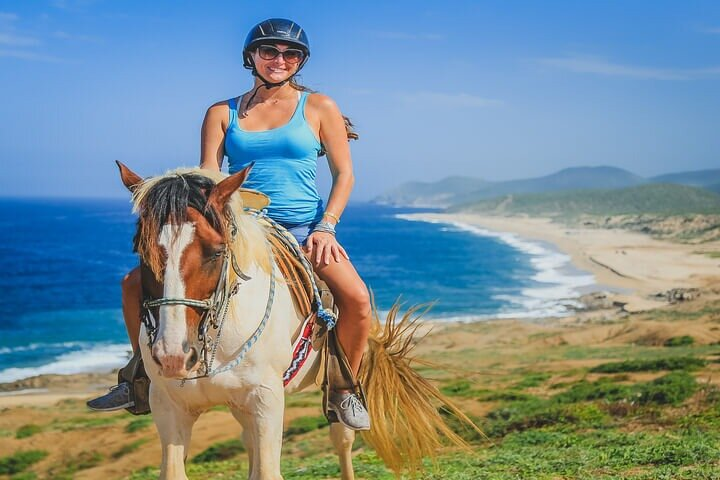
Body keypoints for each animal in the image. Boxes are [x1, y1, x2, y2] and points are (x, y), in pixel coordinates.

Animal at [116, 163, 478, 478]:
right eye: (141, 251)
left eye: (216, 252)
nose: (173, 356)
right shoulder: (168, 405)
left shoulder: (266, 400)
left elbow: (267, 472)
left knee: (341, 437)